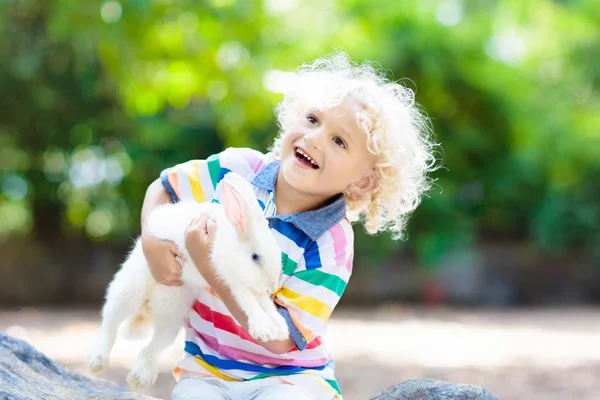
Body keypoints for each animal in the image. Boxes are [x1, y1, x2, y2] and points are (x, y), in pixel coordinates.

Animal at [85, 171, 290, 388]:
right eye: (255, 257)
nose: (272, 286)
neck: (231, 242)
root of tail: (147, 307)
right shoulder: (232, 280)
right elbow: (249, 303)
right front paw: (264, 330)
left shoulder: (253, 288)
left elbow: (266, 305)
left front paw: (280, 329)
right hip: (126, 295)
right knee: (109, 326)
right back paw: (96, 361)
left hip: (171, 320)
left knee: (150, 348)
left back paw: (140, 378)